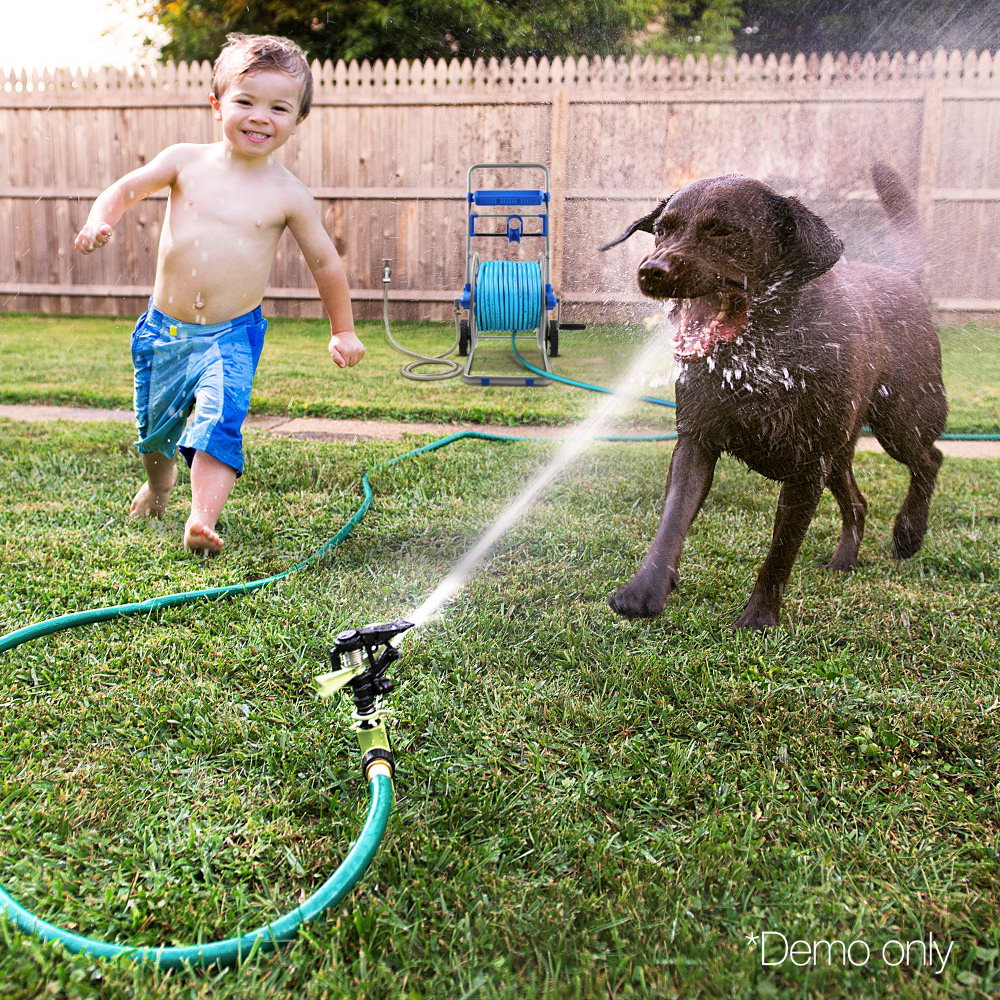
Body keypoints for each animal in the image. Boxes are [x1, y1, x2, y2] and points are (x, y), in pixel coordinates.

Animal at [600, 167, 944, 628]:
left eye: (723, 230)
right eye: (662, 230)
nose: (651, 269)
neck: (760, 351)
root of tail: (902, 277)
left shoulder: (807, 465)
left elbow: (781, 551)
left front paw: (759, 617)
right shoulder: (696, 441)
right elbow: (671, 521)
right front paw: (644, 590)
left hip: (898, 420)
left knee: (929, 459)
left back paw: (909, 532)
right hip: (839, 452)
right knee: (858, 503)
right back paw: (844, 560)